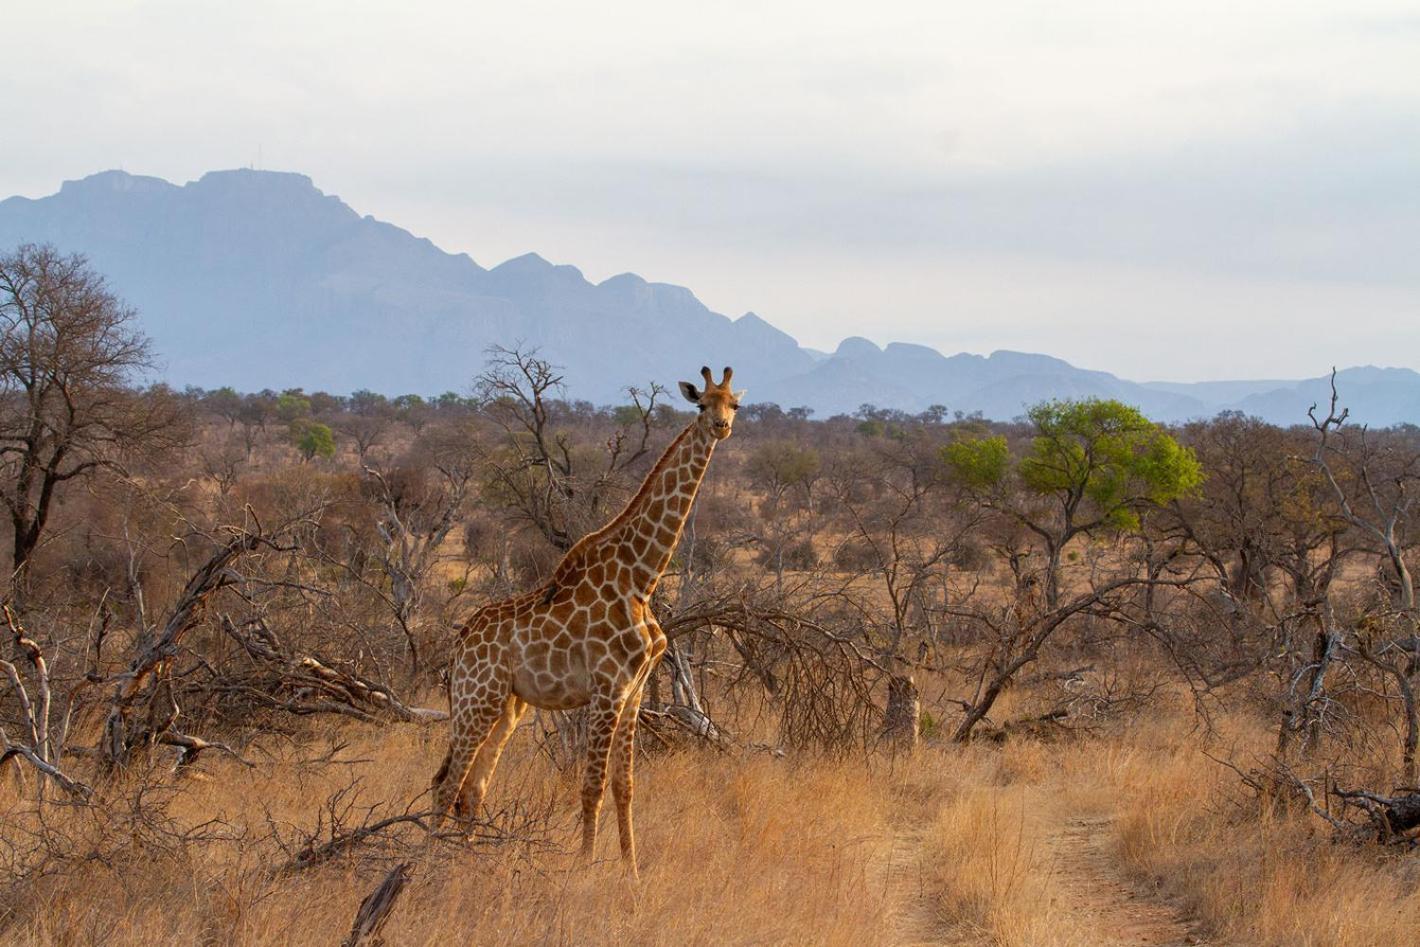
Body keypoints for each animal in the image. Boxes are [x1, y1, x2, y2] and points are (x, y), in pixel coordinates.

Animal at [428, 363, 744, 874]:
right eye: (701, 404)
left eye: (733, 403)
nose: (721, 427)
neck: (641, 578)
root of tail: (458, 645)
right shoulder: (608, 687)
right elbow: (591, 786)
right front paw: (585, 869)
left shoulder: (634, 691)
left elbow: (624, 787)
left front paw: (631, 874)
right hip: (477, 698)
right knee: (446, 784)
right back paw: (427, 864)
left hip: (507, 706)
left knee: (471, 787)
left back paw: (465, 862)